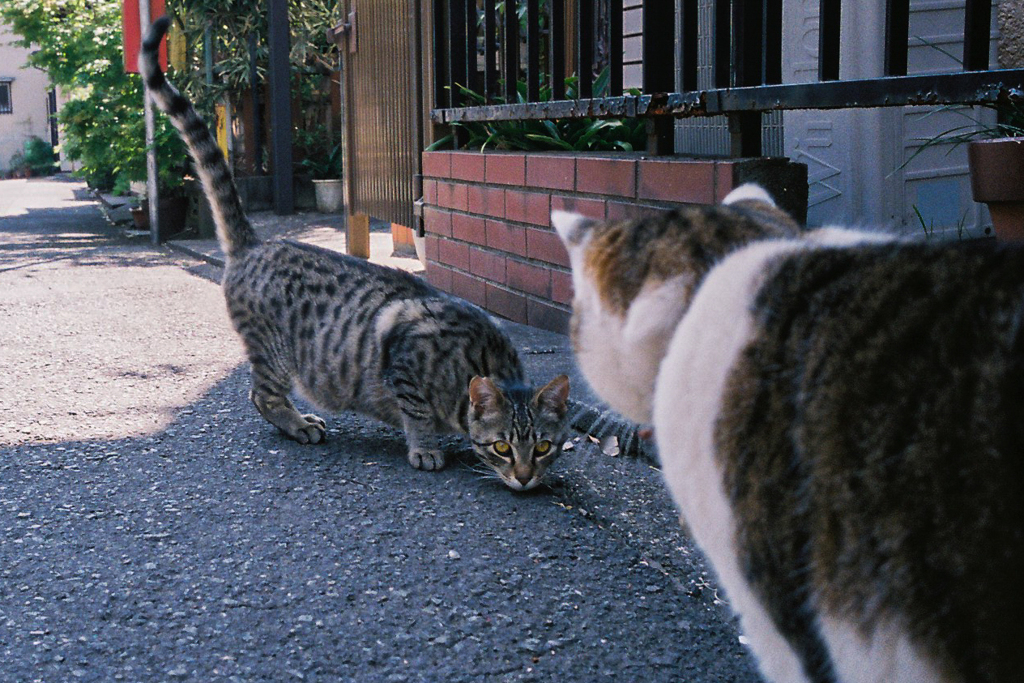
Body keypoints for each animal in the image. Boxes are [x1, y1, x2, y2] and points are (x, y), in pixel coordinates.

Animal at [141, 17, 573, 491]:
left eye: (544, 447)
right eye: (501, 447)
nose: (526, 478)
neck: (477, 361)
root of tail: (254, 244)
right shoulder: (405, 367)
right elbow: (417, 414)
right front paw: (426, 448)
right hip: (274, 353)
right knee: (262, 395)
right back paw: (299, 424)